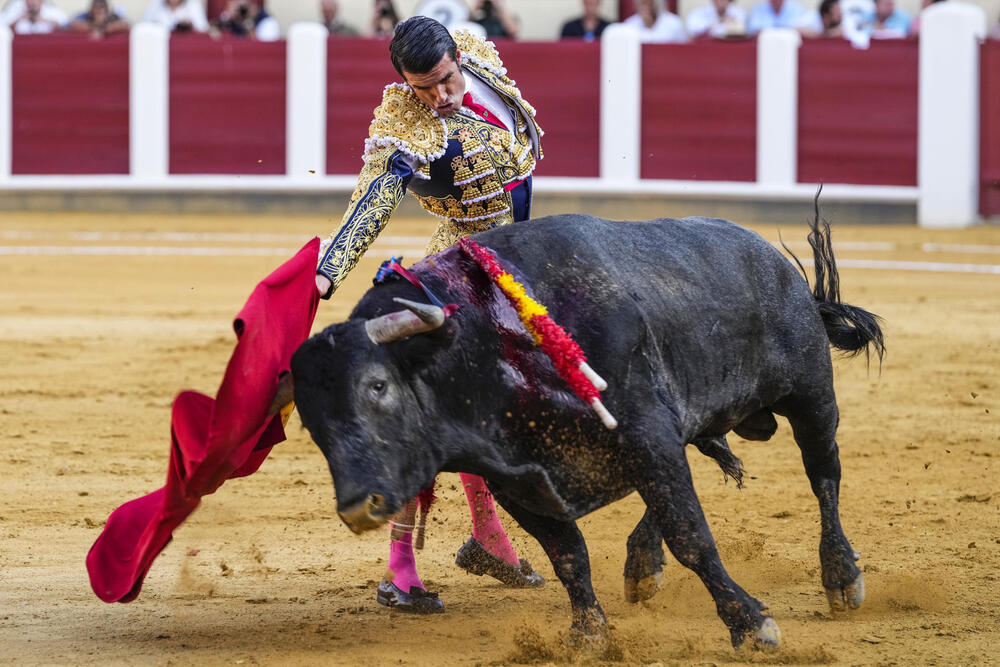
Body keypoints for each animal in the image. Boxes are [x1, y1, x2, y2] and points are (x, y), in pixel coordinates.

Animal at [288, 215, 884, 652]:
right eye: (310, 423)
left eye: (378, 386)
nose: (358, 507)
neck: (493, 338)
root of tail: (780, 267)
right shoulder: (522, 479)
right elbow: (569, 554)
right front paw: (588, 634)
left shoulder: (645, 433)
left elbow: (692, 536)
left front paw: (750, 623)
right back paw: (642, 566)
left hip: (811, 398)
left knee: (824, 476)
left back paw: (841, 577)